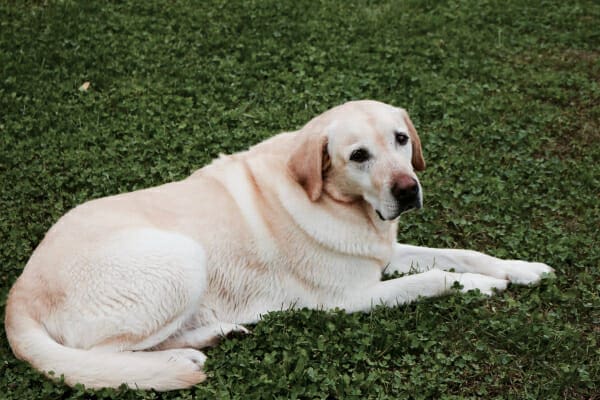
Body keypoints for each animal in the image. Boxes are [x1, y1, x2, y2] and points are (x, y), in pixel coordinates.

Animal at [4, 100, 552, 390]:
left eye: (401, 139)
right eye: (358, 155)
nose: (407, 190)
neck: (340, 202)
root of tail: (18, 294)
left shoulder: (383, 256)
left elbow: (459, 254)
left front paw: (519, 268)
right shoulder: (351, 299)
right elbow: (438, 277)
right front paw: (482, 286)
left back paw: (213, 335)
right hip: (182, 260)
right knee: (106, 354)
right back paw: (178, 362)